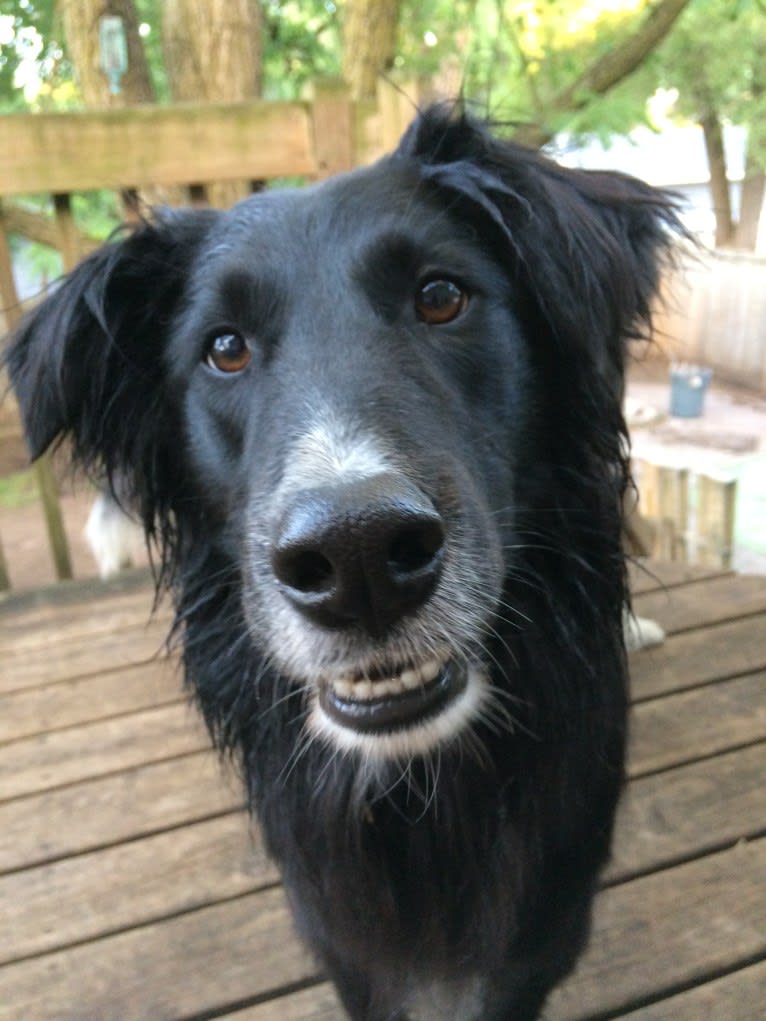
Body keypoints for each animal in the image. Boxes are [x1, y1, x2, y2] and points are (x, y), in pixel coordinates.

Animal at [4, 107, 678, 1016]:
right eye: (224, 348)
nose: (357, 559)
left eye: (441, 296)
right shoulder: (344, 933)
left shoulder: (543, 919)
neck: (419, 787)